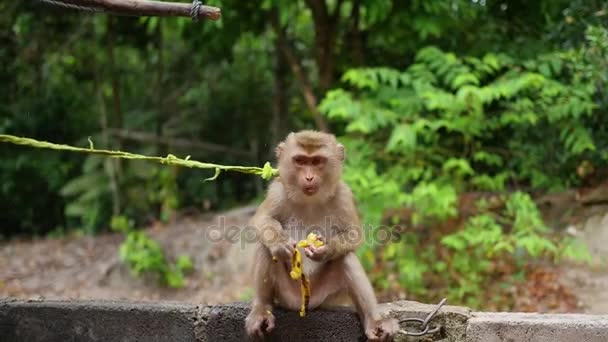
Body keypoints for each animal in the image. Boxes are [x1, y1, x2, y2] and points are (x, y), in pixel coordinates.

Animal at [245, 131, 396, 342]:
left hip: (327, 296)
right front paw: (280, 243)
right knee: (265, 249)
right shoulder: (277, 191)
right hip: (285, 294)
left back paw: (373, 321)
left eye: (317, 161)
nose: (309, 177)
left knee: (346, 258)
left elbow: (353, 234)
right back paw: (261, 309)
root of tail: (301, 305)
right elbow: (262, 220)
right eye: (300, 161)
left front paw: (325, 250)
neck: (310, 200)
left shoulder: (343, 194)